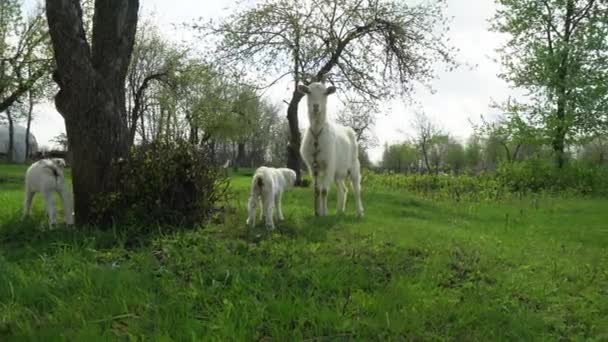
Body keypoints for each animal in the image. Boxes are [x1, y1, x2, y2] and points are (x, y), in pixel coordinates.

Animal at [296, 79, 364, 216]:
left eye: (325, 93)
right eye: (308, 92)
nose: (316, 106)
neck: (317, 134)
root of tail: (348, 130)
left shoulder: (329, 165)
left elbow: (324, 191)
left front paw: (324, 214)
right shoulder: (313, 167)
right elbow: (317, 190)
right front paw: (317, 213)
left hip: (354, 165)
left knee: (356, 189)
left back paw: (359, 212)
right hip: (338, 171)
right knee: (343, 189)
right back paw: (339, 211)